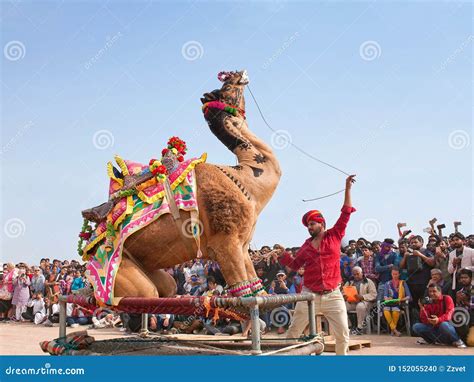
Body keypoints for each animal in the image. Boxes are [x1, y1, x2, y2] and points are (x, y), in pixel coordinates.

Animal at [111, 70, 282, 300]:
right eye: (227, 87)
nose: (239, 73)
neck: (246, 179)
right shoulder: (225, 244)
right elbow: (245, 296)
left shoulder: (243, 247)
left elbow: (259, 292)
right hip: (122, 272)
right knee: (143, 294)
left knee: (167, 287)